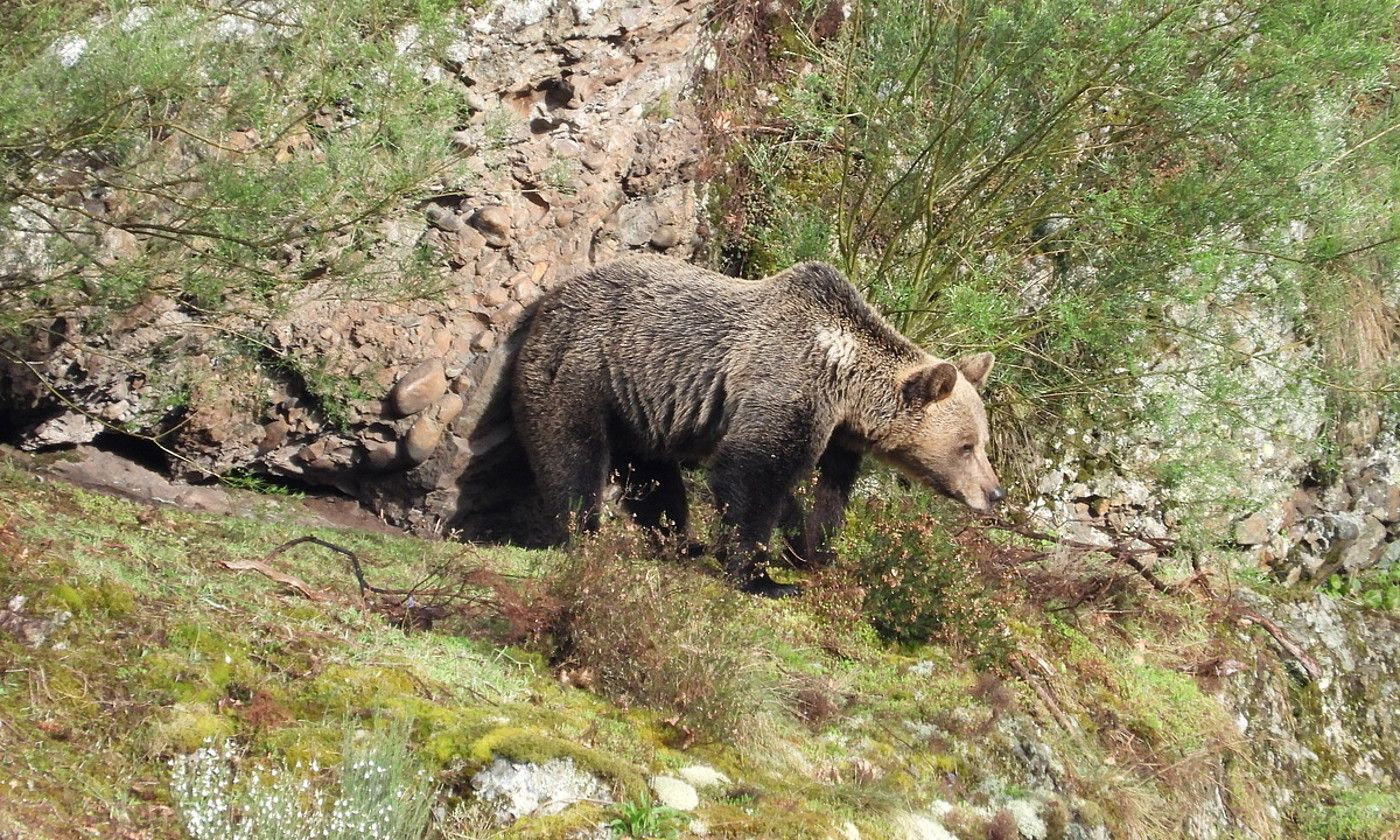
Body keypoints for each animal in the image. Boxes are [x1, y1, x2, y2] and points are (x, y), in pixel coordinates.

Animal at [509, 252, 1002, 593]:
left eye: (982, 441)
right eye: (967, 445)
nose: (994, 492)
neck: (846, 384)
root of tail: (551, 298)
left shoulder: (838, 436)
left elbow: (829, 493)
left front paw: (816, 551)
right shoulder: (786, 380)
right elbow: (753, 472)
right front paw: (762, 576)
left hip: (641, 410)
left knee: (652, 479)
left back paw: (680, 542)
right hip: (585, 367)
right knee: (572, 453)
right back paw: (582, 531)